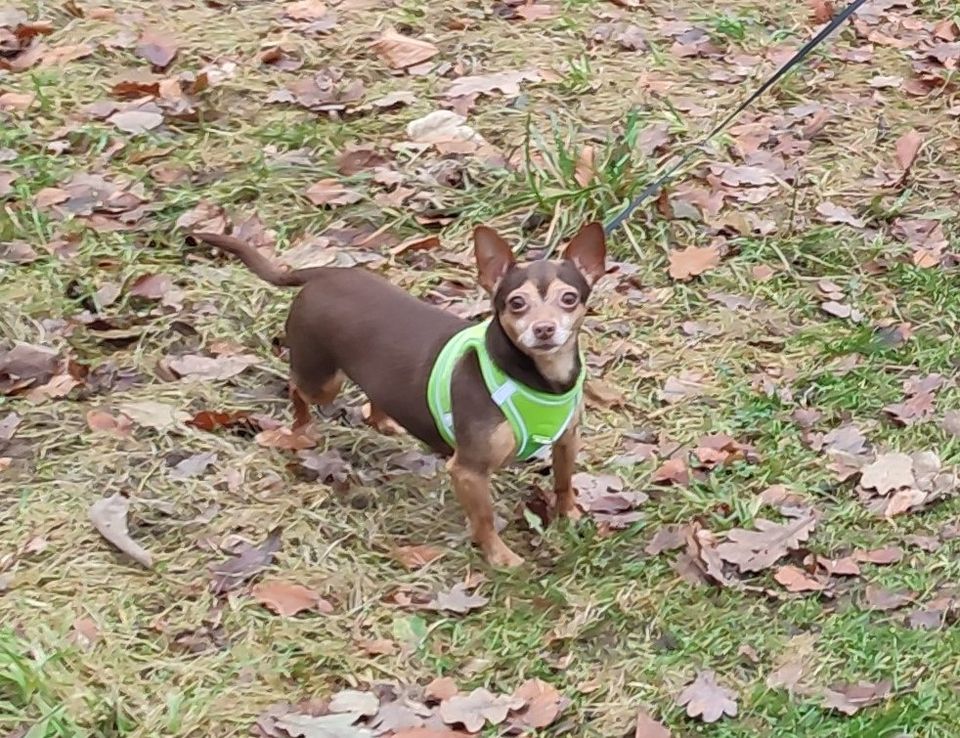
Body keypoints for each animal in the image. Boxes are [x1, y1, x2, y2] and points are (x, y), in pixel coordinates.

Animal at [191, 223, 604, 564]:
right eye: (516, 303)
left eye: (569, 298)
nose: (544, 329)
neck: (537, 378)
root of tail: (326, 273)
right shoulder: (470, 472)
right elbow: (484, 519)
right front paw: (500, 557)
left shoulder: (567, 439)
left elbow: (564, 482)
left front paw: (570, 514)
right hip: (322, 381)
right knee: (297, 388)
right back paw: (297, 430)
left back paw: (383, 421)